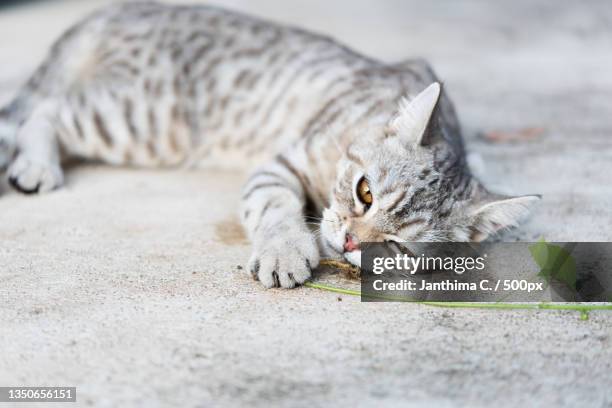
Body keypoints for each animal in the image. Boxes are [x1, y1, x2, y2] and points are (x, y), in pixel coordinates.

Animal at [0, 0, 540, 286]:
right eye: (364, 192)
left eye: (396, 246)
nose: (349, 240)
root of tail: (108, 12)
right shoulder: (281, 162)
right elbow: (275, 208)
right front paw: (285, 249)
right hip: (141, 119)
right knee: (44, 111)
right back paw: (38, 166)